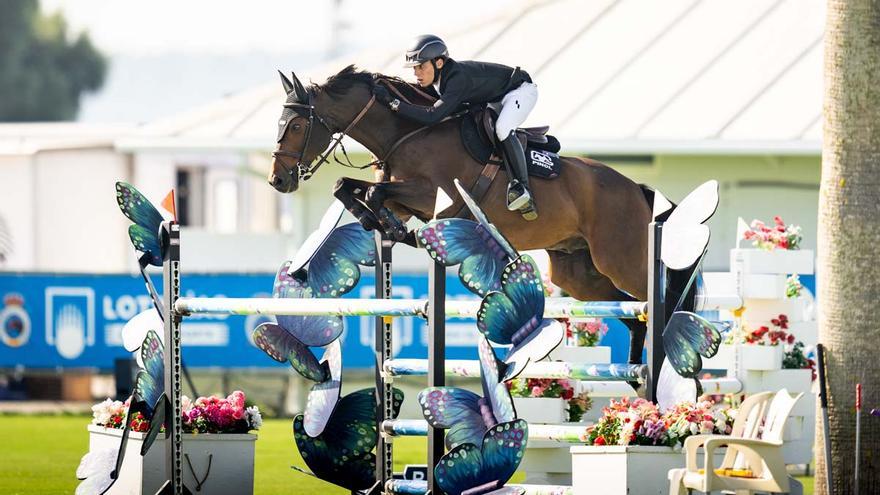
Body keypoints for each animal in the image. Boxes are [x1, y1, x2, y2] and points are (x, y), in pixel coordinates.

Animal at [268, 66, 696, 366]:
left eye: (297, 124)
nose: (278, 181)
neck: (405, 134)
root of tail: (636, 188)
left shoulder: (433, 195)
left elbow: (372, 191)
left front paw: (391, 226)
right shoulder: (404, 195)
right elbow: (349, 187)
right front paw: (384, 224)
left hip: (620, 260)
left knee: (658, 300)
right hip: (578, 275)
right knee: (633, 316)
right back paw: (636, 373)